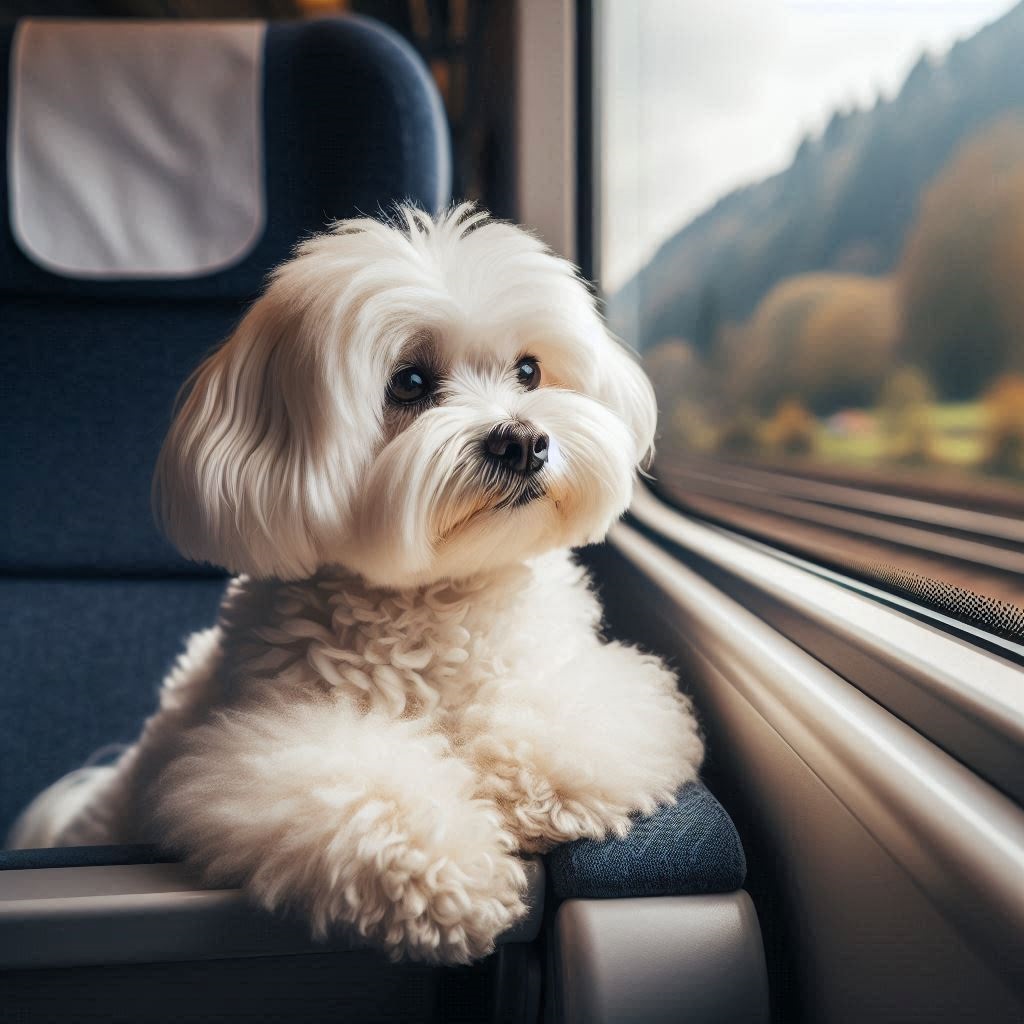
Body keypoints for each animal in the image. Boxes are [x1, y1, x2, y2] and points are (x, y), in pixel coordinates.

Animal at [9, 205, 704, 958]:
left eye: (528, 369)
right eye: (409, 383)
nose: (522, 440)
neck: (440, 598)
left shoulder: (569, 676)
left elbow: (560, 717)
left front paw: (533, 788)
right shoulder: (266, 748)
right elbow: (365, 788)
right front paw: (453, 868)